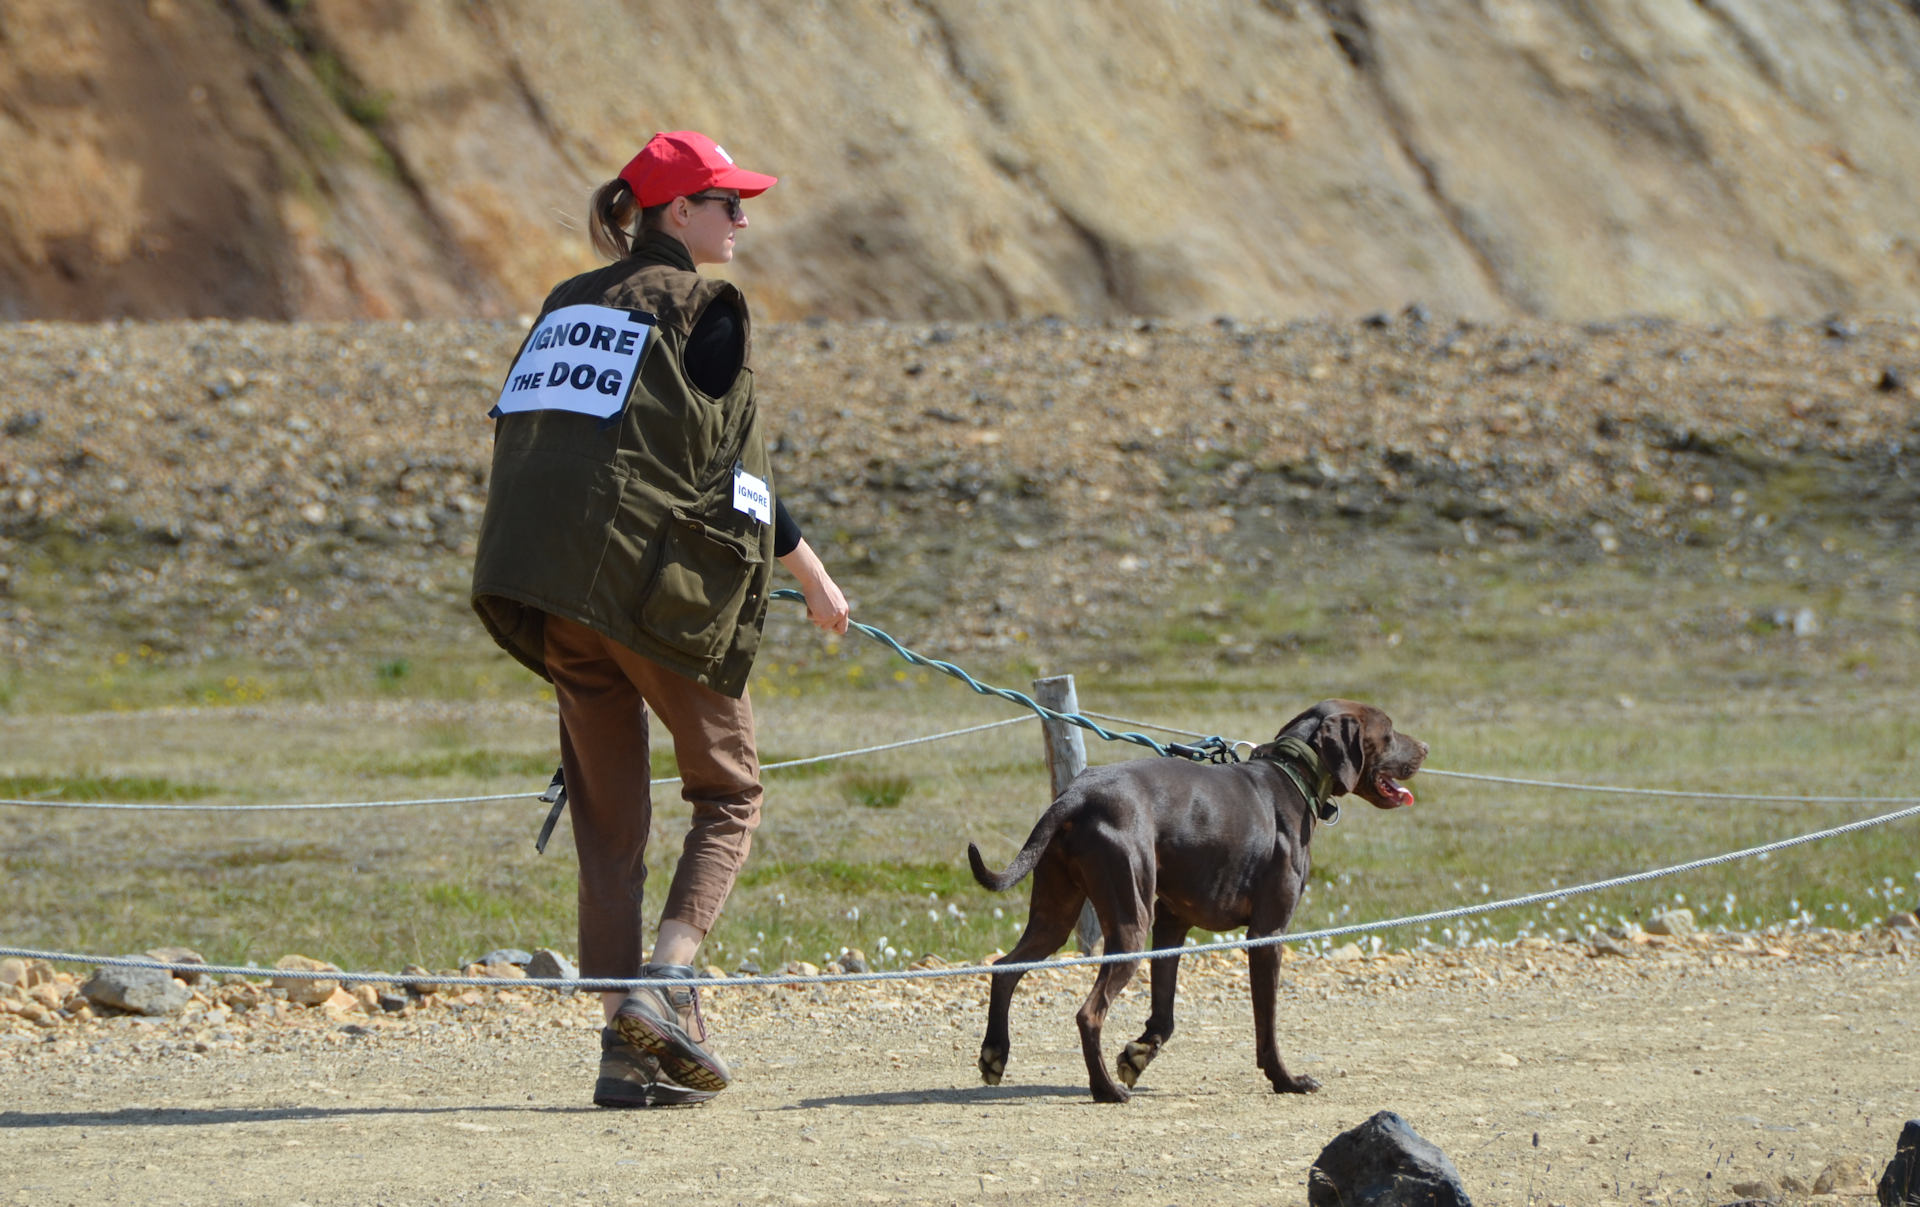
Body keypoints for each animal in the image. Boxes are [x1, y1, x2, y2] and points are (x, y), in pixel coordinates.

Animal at [967, 698, 1420, 1105]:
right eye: (1389, 730)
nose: (1425, 748)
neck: (1295, 773)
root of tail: (1077, 793)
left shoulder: (1171, 926)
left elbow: (1164, 1015)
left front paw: (1138, 1054)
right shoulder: (1267, 934)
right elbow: (1267, 1023)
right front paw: (1285, 1079)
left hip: (1055, 917)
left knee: (1005, 969)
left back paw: (995, 1054)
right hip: (1129, 928)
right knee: (1089, 1012)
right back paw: (1105, 1090)